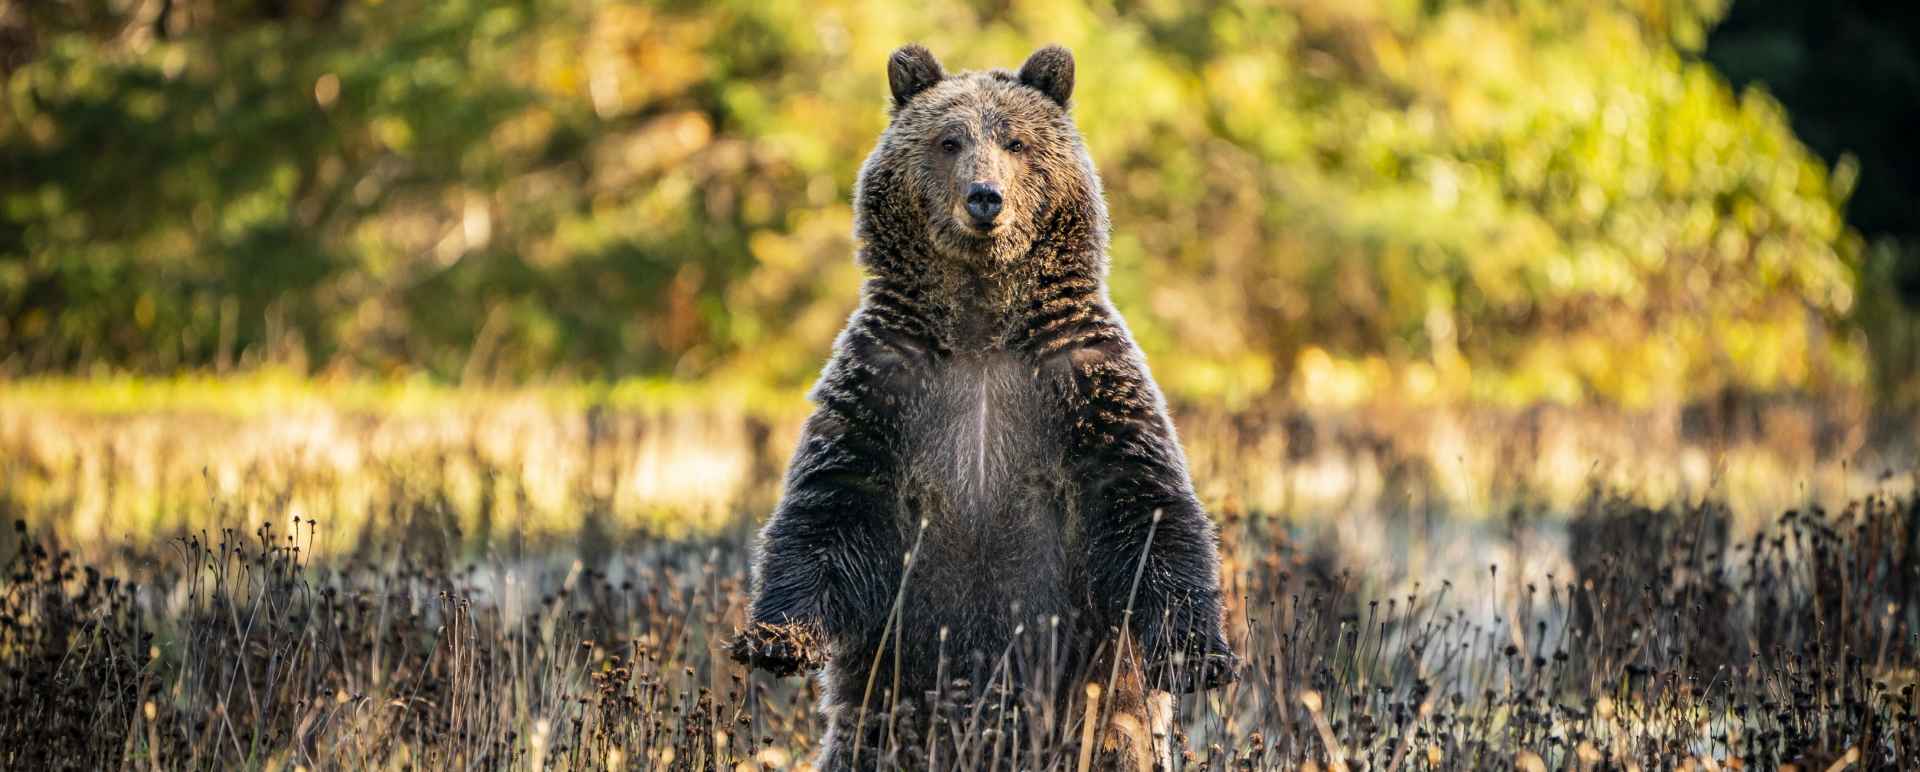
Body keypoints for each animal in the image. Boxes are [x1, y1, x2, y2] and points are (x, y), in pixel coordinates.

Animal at [728, 44, 1237, 771]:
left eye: (1016, 141)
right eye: (949, 140)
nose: (984, 198)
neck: (982, 325)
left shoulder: (1082, 386)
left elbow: (1147, 510)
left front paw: (1202, 658)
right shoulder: (887, 386)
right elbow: (829, 508)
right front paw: (774, 638)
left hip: (1098, 717)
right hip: (885, 715)